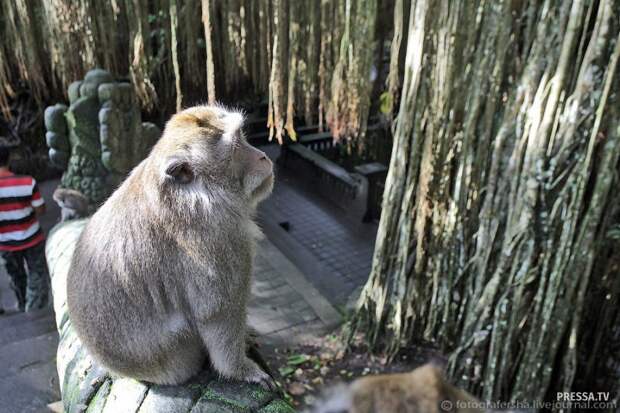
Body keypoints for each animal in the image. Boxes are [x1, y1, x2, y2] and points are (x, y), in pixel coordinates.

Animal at [66, 103, 276, 386]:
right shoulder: (220, 238)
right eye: (237, 146)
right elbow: (217, 314)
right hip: (172, 357)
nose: (262, 156)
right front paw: (242, 370)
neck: (195, 195)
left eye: (243, 137)